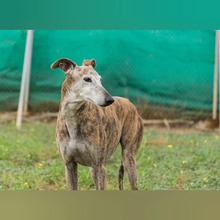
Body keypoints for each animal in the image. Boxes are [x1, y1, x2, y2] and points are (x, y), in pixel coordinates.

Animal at [51, 58, 144, 191]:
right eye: (87, 79)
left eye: (100, 79)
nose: (110, 100)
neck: (74, 116)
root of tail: (129, 102)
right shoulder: (69, 165)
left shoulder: (99, 166)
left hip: (128, 159)